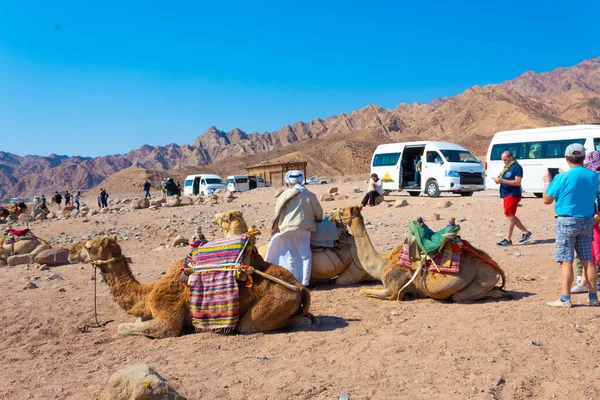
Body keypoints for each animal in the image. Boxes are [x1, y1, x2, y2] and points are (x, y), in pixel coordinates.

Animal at [81, 233, 314, 340]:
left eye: (89, 247)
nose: (77, 254)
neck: (148, 293)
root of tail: (298, 286)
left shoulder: (168, 318)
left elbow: (123, 328)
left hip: (274, 302)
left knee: (249, 325)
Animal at [328, 206, 510, 304]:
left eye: (342, 210)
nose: (330, 215)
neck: (382, 262)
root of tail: (497, 269)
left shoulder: (393, 291)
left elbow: (363, 291)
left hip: (482, 278)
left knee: (460, 296)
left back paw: (500, 294)